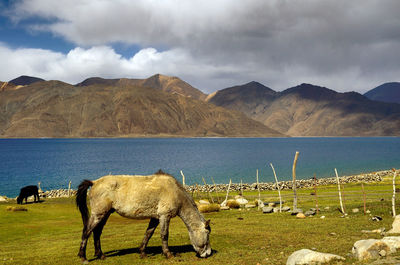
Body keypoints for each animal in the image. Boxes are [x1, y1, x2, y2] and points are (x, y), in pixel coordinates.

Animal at [76, 170, 212, 260]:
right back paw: (83, 257)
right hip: (98, 214)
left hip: (105, 214)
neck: (175, 192)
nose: (208, 253)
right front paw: (168, 254)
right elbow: (164, 235)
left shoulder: (155, 218)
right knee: (87, 231)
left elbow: (148, 234)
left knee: (97, 232)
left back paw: (100, 255)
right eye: (207, 234)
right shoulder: (164, 216)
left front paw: (142, 252)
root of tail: (94, 182)